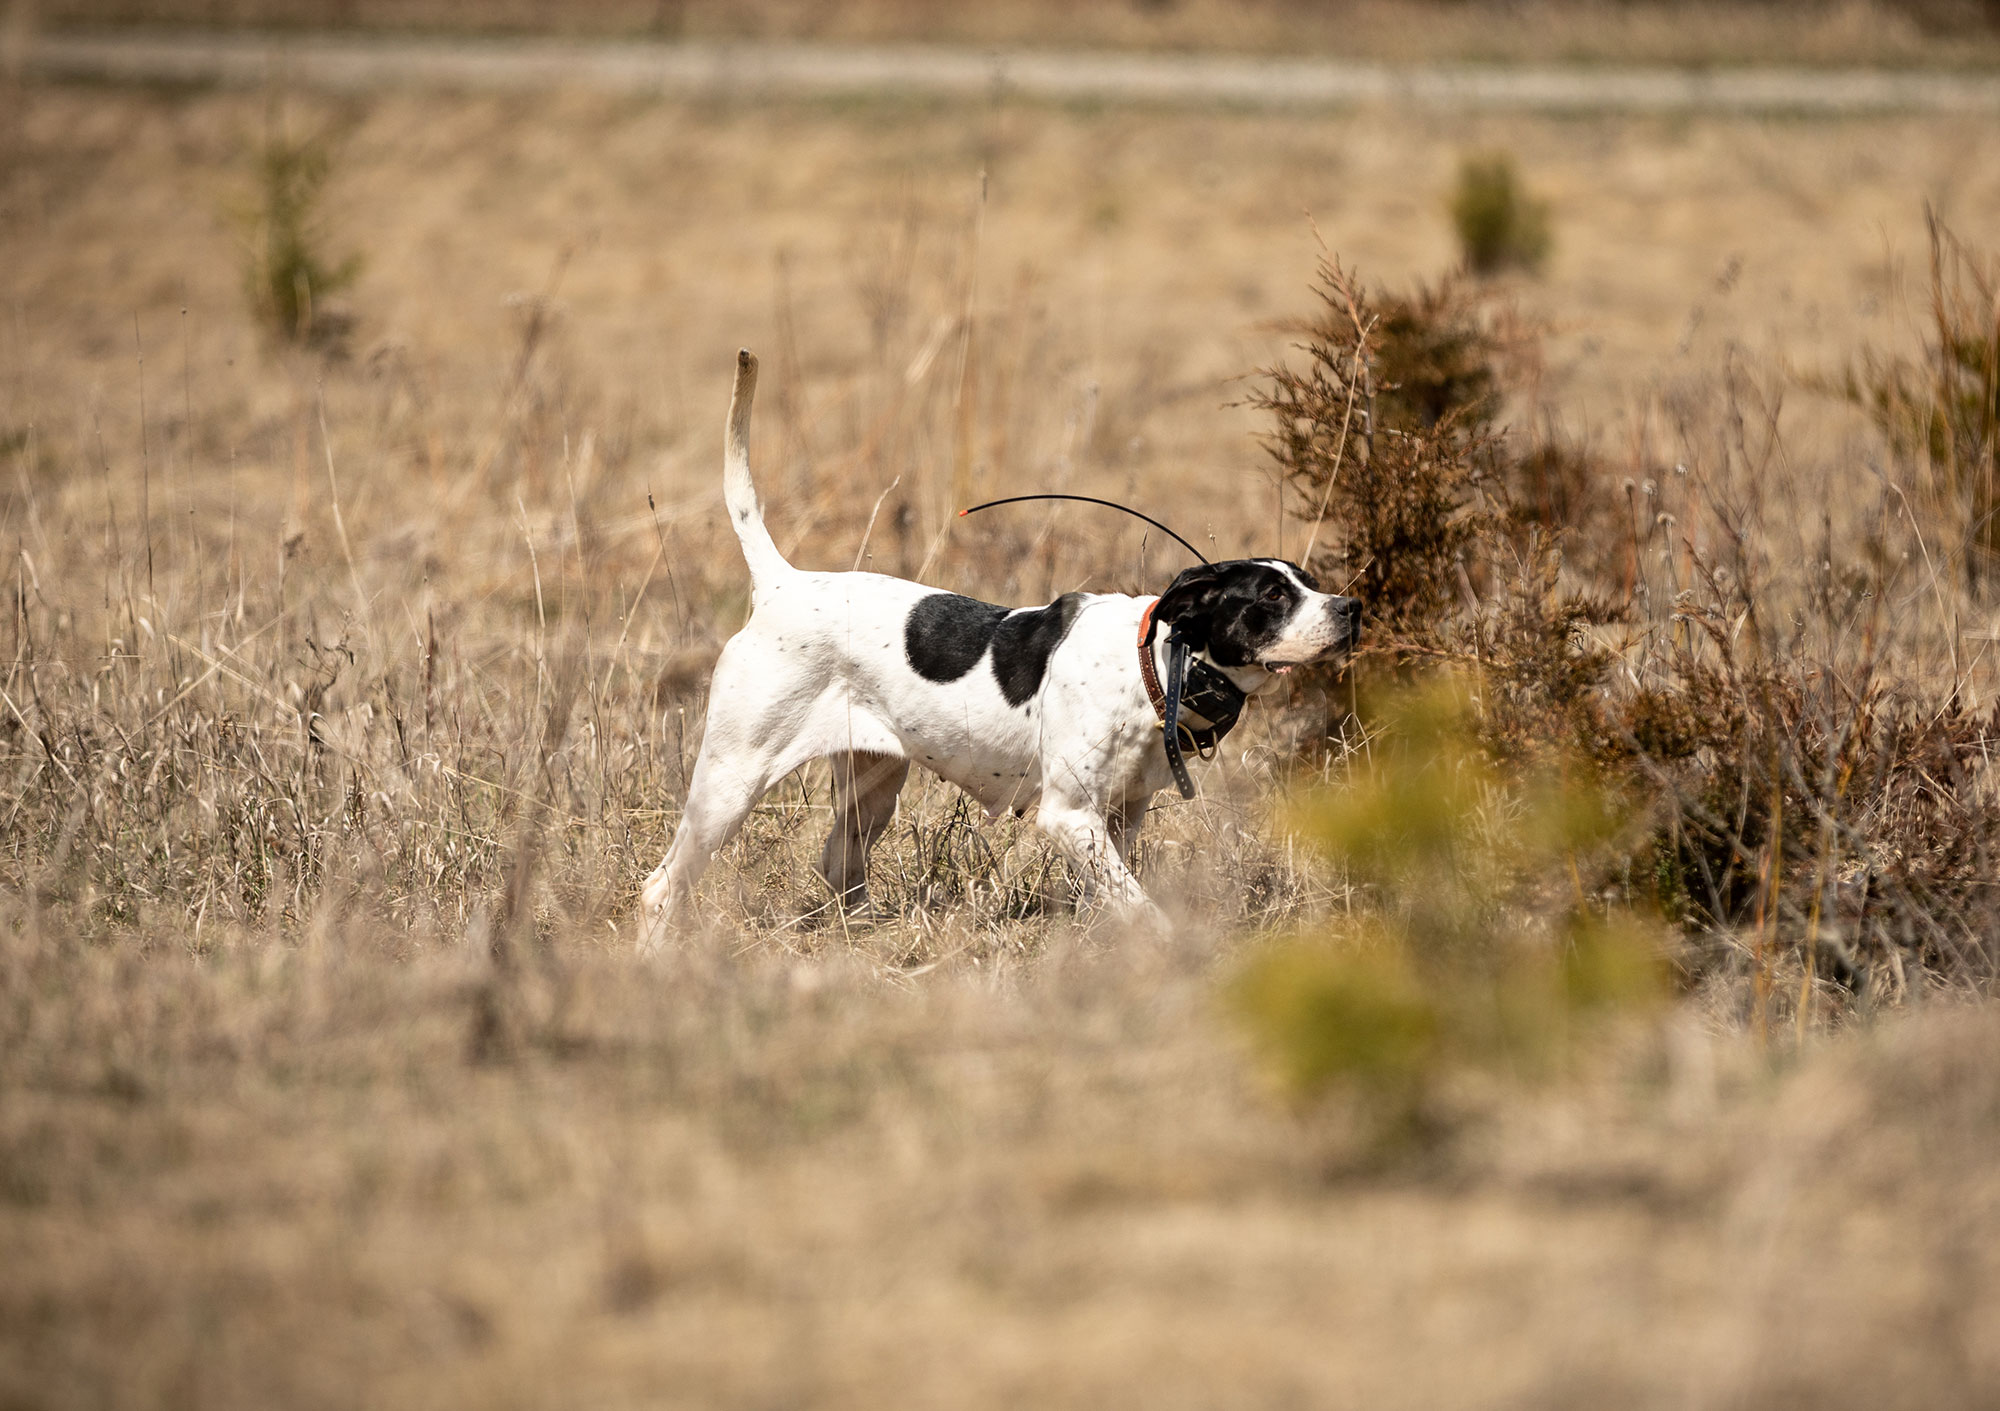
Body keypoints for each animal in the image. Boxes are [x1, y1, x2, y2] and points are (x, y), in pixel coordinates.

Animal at [640, 345, 1360, 939]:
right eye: (1271, 597)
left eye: (1312, 583)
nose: (1352, 608)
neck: (1154, 664)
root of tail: (783, 584)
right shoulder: (1070, 817)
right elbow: (1139, 907)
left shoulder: (1122, 817)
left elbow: (1112, 895)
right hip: (730, 784)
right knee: (660, 887)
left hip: (872, 789)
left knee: (838, 863)